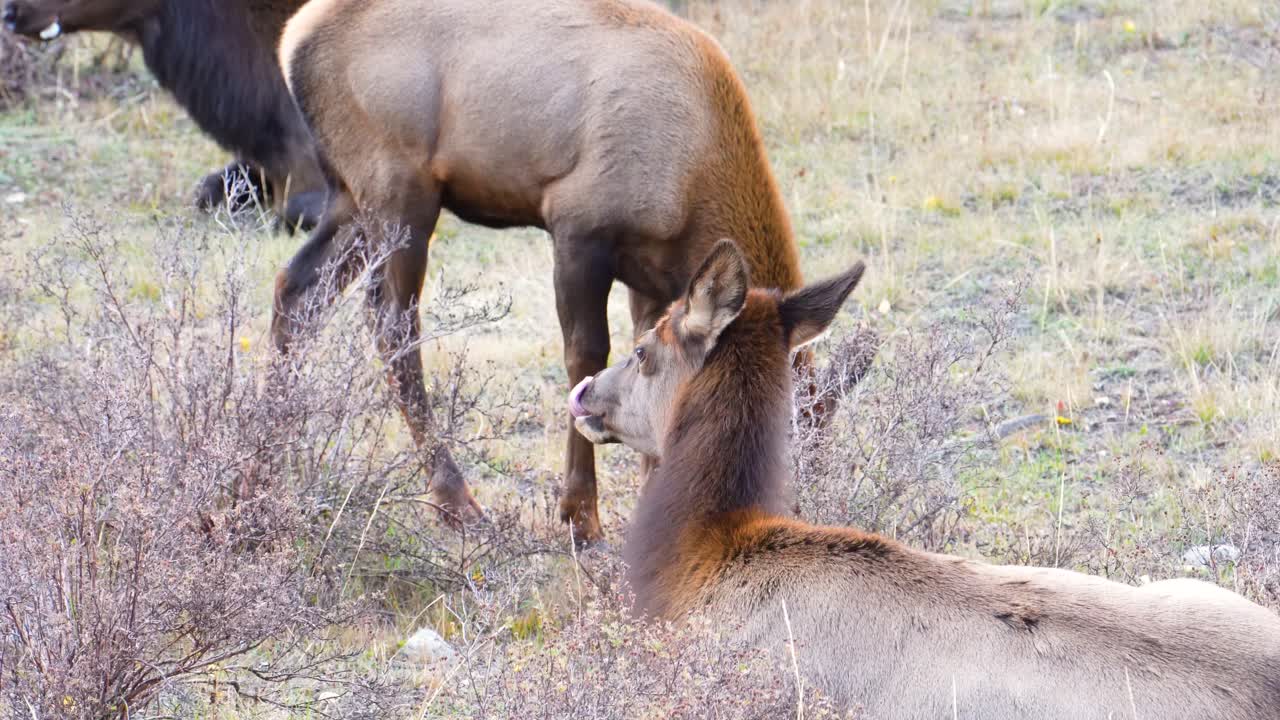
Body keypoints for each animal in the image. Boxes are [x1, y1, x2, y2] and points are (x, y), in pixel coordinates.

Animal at [273, 0, 833, 540]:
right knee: (393, 329)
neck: (694, 184)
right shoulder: (577, 226)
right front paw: (580, 518)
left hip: (349, 198)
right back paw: (457, 504)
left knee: (295, 290)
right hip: (398, 190)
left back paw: (281, 454)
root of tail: (292, 40)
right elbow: (584, 358)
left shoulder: (651, 277)